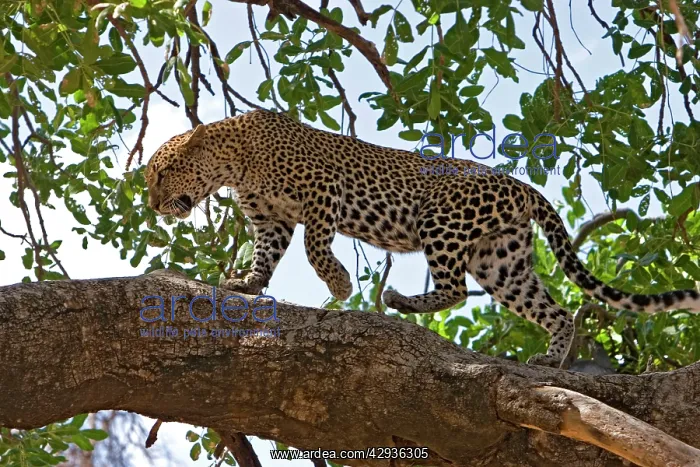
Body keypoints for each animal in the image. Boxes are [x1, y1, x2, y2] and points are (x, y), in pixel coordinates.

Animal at [145, 108, 700, 367]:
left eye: (160, 173)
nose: (151, 204)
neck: (234, 162)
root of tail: (522, 185)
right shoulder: (271, 221)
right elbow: (267, 257)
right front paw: (246, 284)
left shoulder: (323, 194)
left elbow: (315, 247)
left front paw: (339, 286)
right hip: (501, 261)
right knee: (555, 310)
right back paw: (550, 358)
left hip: (442, 222)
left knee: (453, 289)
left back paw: (399, 300)